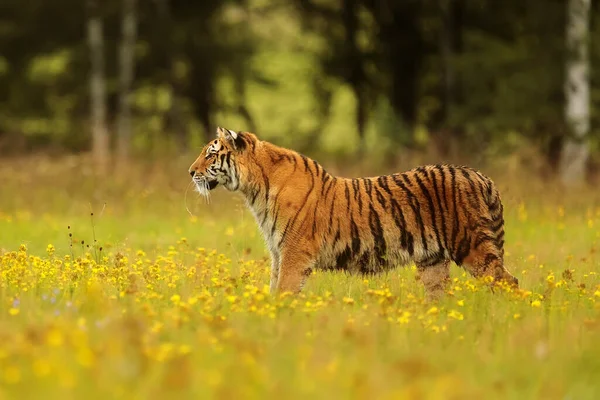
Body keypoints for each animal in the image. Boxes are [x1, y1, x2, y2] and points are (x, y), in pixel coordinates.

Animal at [190, 126, 516, 298]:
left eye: (211, 153)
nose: (191, 172)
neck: (254, 189)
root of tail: (480, 176)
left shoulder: (294, 253)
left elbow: (285, 292)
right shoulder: (278, 254)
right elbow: (274, 289)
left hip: (472, 246)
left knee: (508, 283)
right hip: (432, 261)